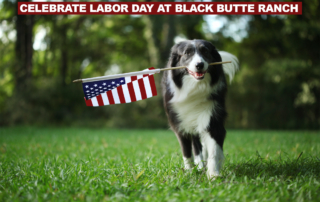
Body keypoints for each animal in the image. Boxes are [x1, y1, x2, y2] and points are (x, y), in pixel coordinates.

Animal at [162, 39, 238, 178]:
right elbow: (186, 152)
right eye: (187, 53)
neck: (195, 87)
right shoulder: (179, 123)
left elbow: (213, 149)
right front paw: (189, 171)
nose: (199, 65)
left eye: (205, 51)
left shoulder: (213, 118)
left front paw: (213, 174)